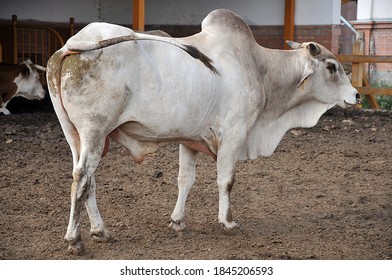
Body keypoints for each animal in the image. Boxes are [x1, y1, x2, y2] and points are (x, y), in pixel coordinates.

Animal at [46, 8, 362, 255]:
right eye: (331, 67)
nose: (357, 96)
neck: (259, 68)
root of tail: (73, 43)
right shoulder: (235, 134)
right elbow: (226, 180)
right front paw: (228, 222)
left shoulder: (190, 139)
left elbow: (185, 180)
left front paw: (177, 222)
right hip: (95, 131)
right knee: (82, 179)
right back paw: (75, 240)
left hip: (77, 136)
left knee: (86, 180)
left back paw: (100, 231)